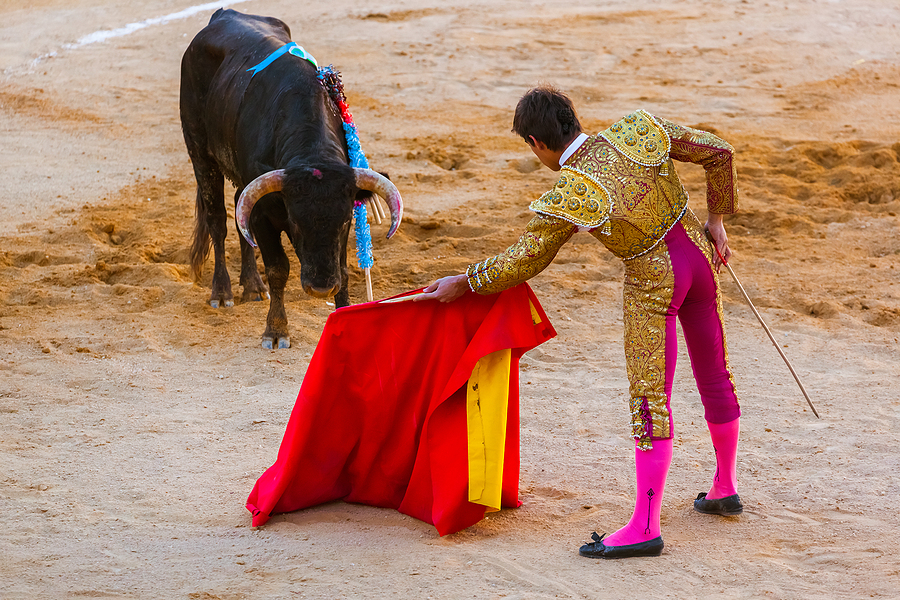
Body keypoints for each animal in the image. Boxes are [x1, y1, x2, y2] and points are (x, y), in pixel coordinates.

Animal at [179, 8, 400, 352]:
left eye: (345, 222)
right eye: (295, 222)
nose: (321, 288)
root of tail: (224, 13)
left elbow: (343, 270)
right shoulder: (264, 214)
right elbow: (278, 268)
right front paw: (276, 330)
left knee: (238, 209)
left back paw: (252, 286)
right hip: (199, 151)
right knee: (217, 219)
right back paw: (223, 292)